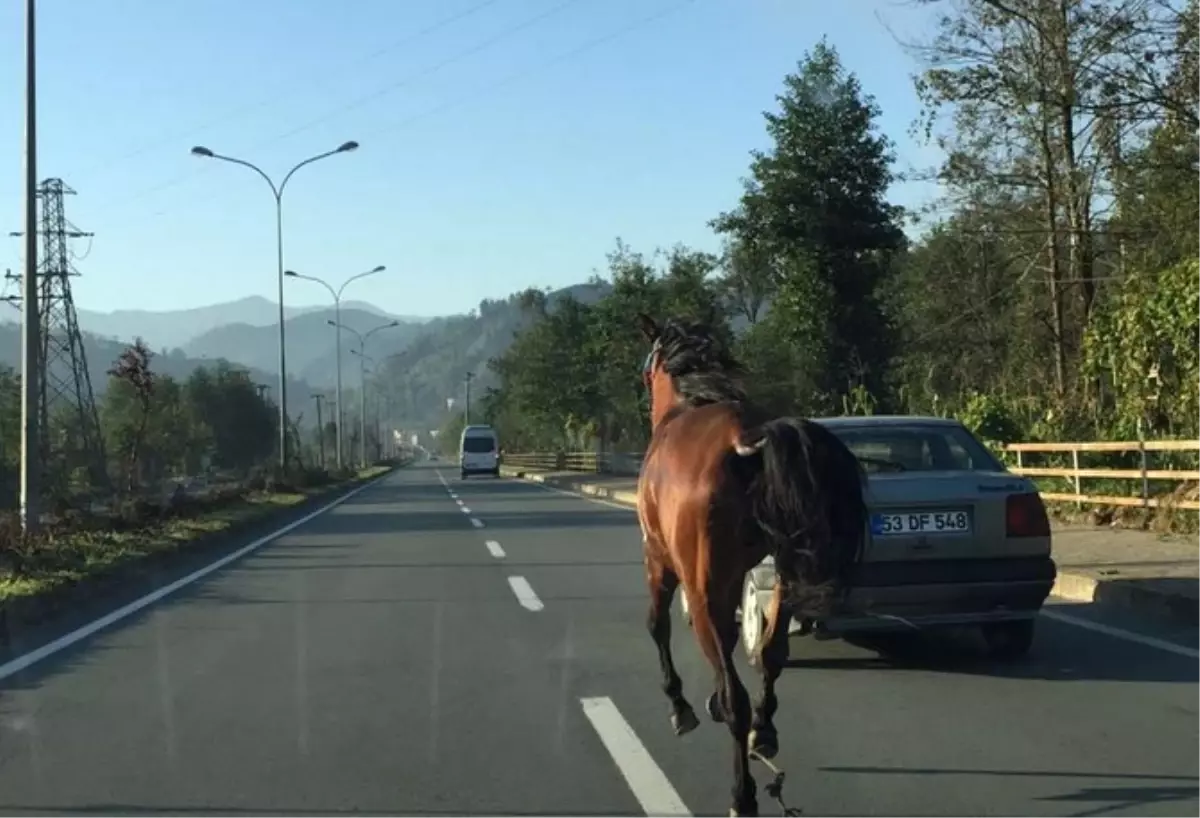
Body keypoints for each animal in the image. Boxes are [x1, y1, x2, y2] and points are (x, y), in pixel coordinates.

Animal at [638, 311, 864, 815]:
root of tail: (746, 441)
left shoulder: (659, 560)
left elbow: (657, 625)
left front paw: (679, 705)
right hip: (783, 574)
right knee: (770, 655)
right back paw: (765, 730)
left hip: (701, 588)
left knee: (735, 692)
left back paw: (742, 793)